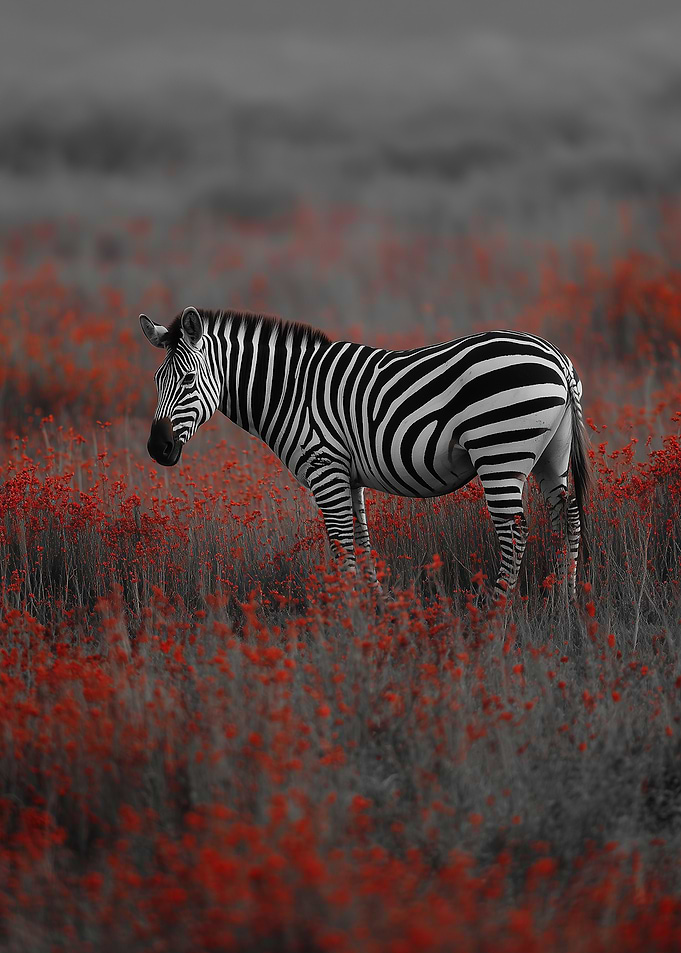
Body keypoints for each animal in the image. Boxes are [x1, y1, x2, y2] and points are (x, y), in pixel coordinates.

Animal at [140, 307, 590, 602]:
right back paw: (563, 604)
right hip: (552, 454)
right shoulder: (349, 474)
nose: (157, 449)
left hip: (500, 451)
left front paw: (348, 620)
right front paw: (374, 610)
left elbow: (341, 544)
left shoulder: (325, 467)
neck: (290, 391)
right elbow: (362, 539)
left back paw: (495, 613)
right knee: (566, 518)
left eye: (188, 380)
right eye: (157, 381)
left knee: (515, 532)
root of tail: (559, 360)